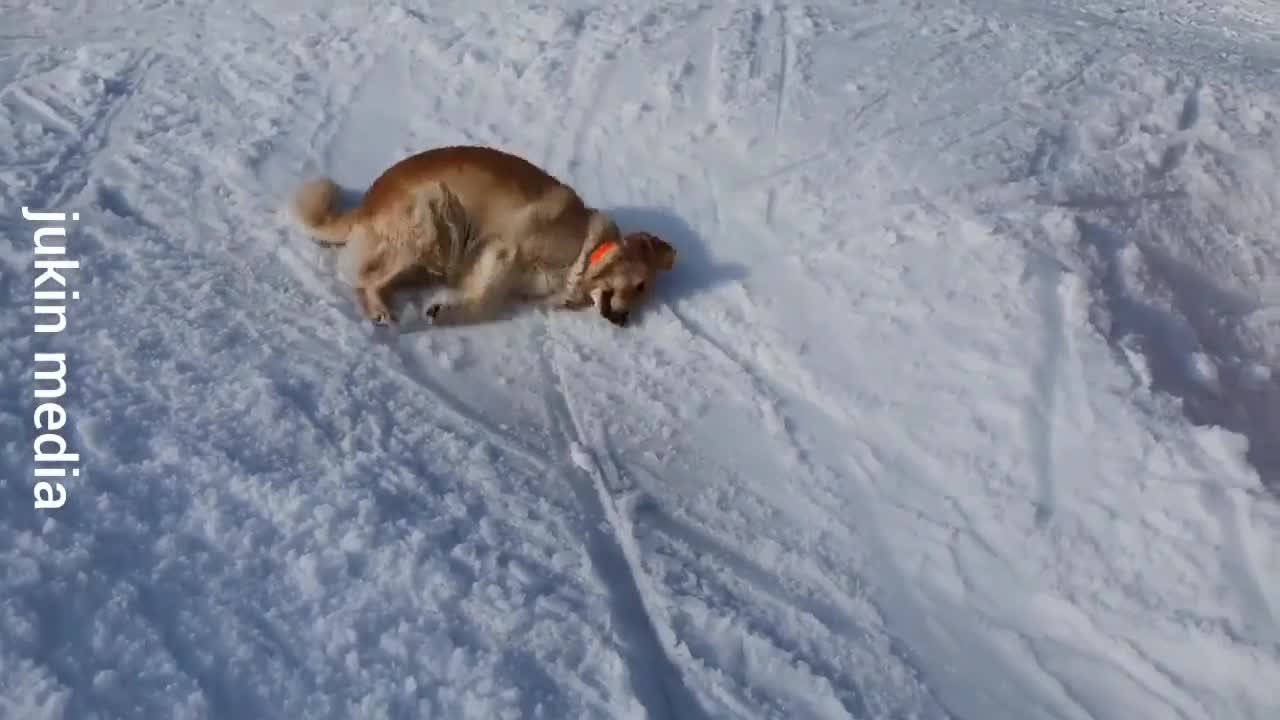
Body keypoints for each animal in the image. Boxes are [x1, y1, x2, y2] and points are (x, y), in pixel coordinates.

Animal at [288, 146, 670, 325]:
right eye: (639, 286)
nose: (624, 322)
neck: (586, 253)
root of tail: (367, 204)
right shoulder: (503, 249)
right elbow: (486, 301)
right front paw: (444, 312)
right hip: (435, 212)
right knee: (363, 280)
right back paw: (380, 310)